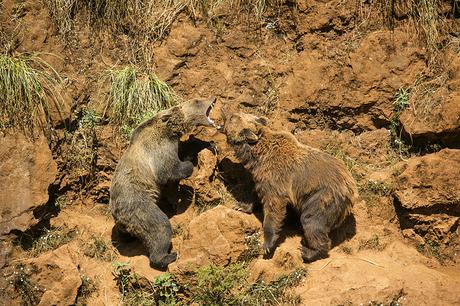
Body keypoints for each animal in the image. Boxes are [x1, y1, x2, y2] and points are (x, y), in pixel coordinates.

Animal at [112, 97, 219, 268]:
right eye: (197, 101)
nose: (213, 98)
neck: (170, 129)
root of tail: (116, 214)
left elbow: (186, 147)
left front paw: (209, 145)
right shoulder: (158, 149)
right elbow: (168, 170)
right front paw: (189, 163)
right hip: (138, 205)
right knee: (159, 226)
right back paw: (167, 256)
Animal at [225, 113, 358, 262]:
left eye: (232, 118)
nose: (227, 114)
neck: (257, 156)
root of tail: (352, 190)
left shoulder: (277, 178)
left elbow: (274, 207)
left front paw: (267, 245)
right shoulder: (260, 177)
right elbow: (255, 193)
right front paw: (241, 206)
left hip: (322, 197)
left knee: (312, 221)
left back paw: (309, 251)